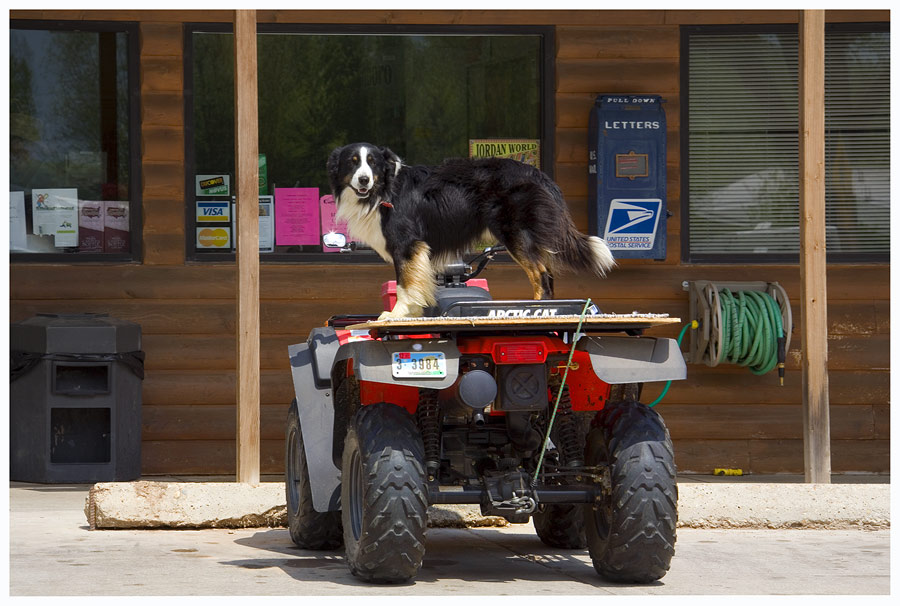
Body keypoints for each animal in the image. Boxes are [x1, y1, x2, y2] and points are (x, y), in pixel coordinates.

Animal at [326, 144, 616, 320]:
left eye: (372, 163)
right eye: (353, 163)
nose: (364, 180)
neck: (384, 190)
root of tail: (538, 173)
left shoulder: (407, 244)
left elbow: (404, 284)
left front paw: (396, 315)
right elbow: (415, 282)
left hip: (514, 233)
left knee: (541, 274)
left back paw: (536, 309)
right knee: (548, 273)